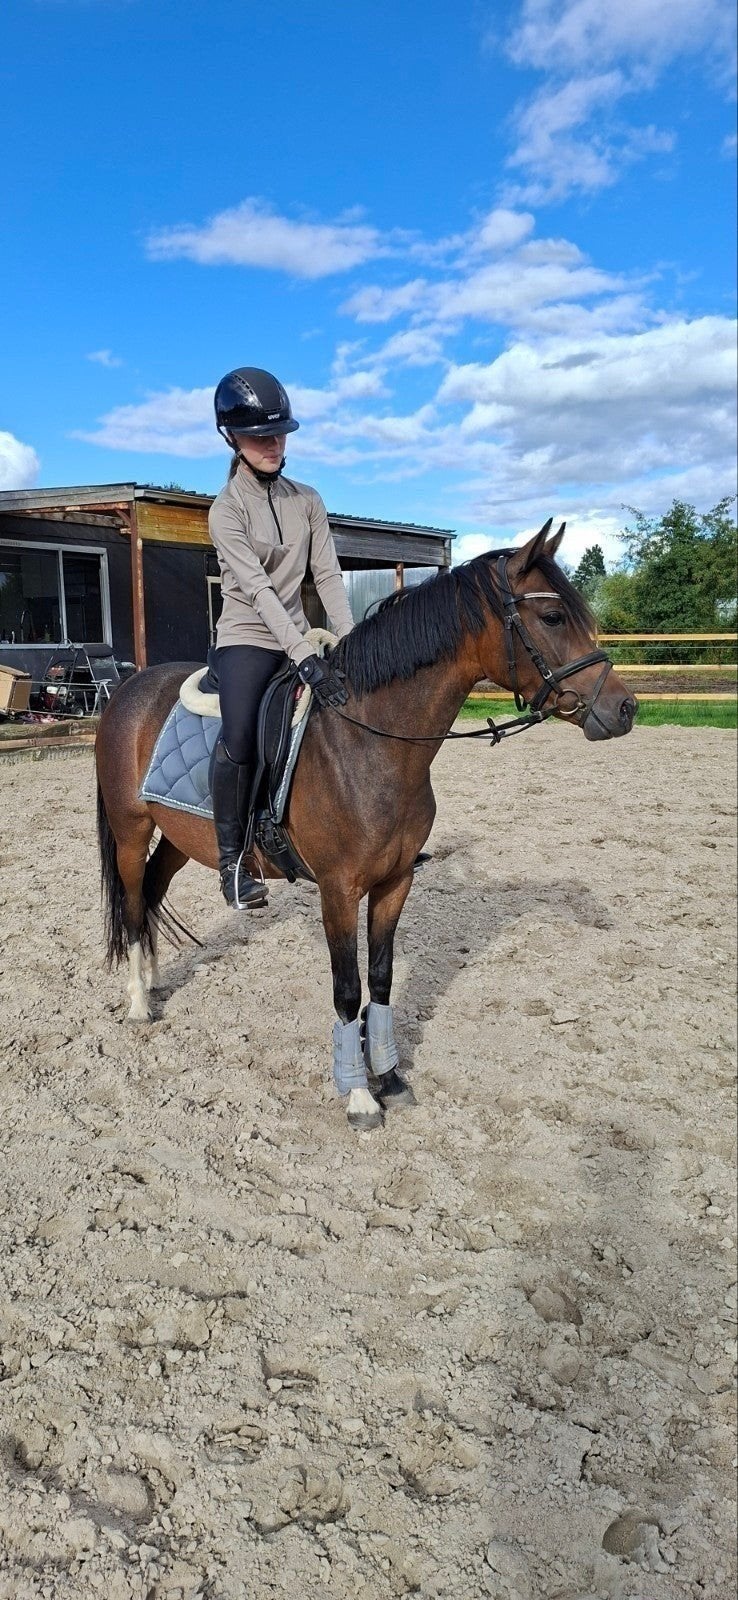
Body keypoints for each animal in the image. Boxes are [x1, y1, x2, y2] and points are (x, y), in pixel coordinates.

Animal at [95, 520, 636, 1130]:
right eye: (552, 616)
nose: (624, 709)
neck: (370, 741)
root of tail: (128, 691)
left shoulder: (395, 882)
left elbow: (380, 981)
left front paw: (390, 1078)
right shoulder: (338, 890)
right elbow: (347, 989)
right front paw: (357, 1096)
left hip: (180, 838)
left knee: (153, 893)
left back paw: (154, 980)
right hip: (130, 830)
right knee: (133, 904)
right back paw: (139, 1003)